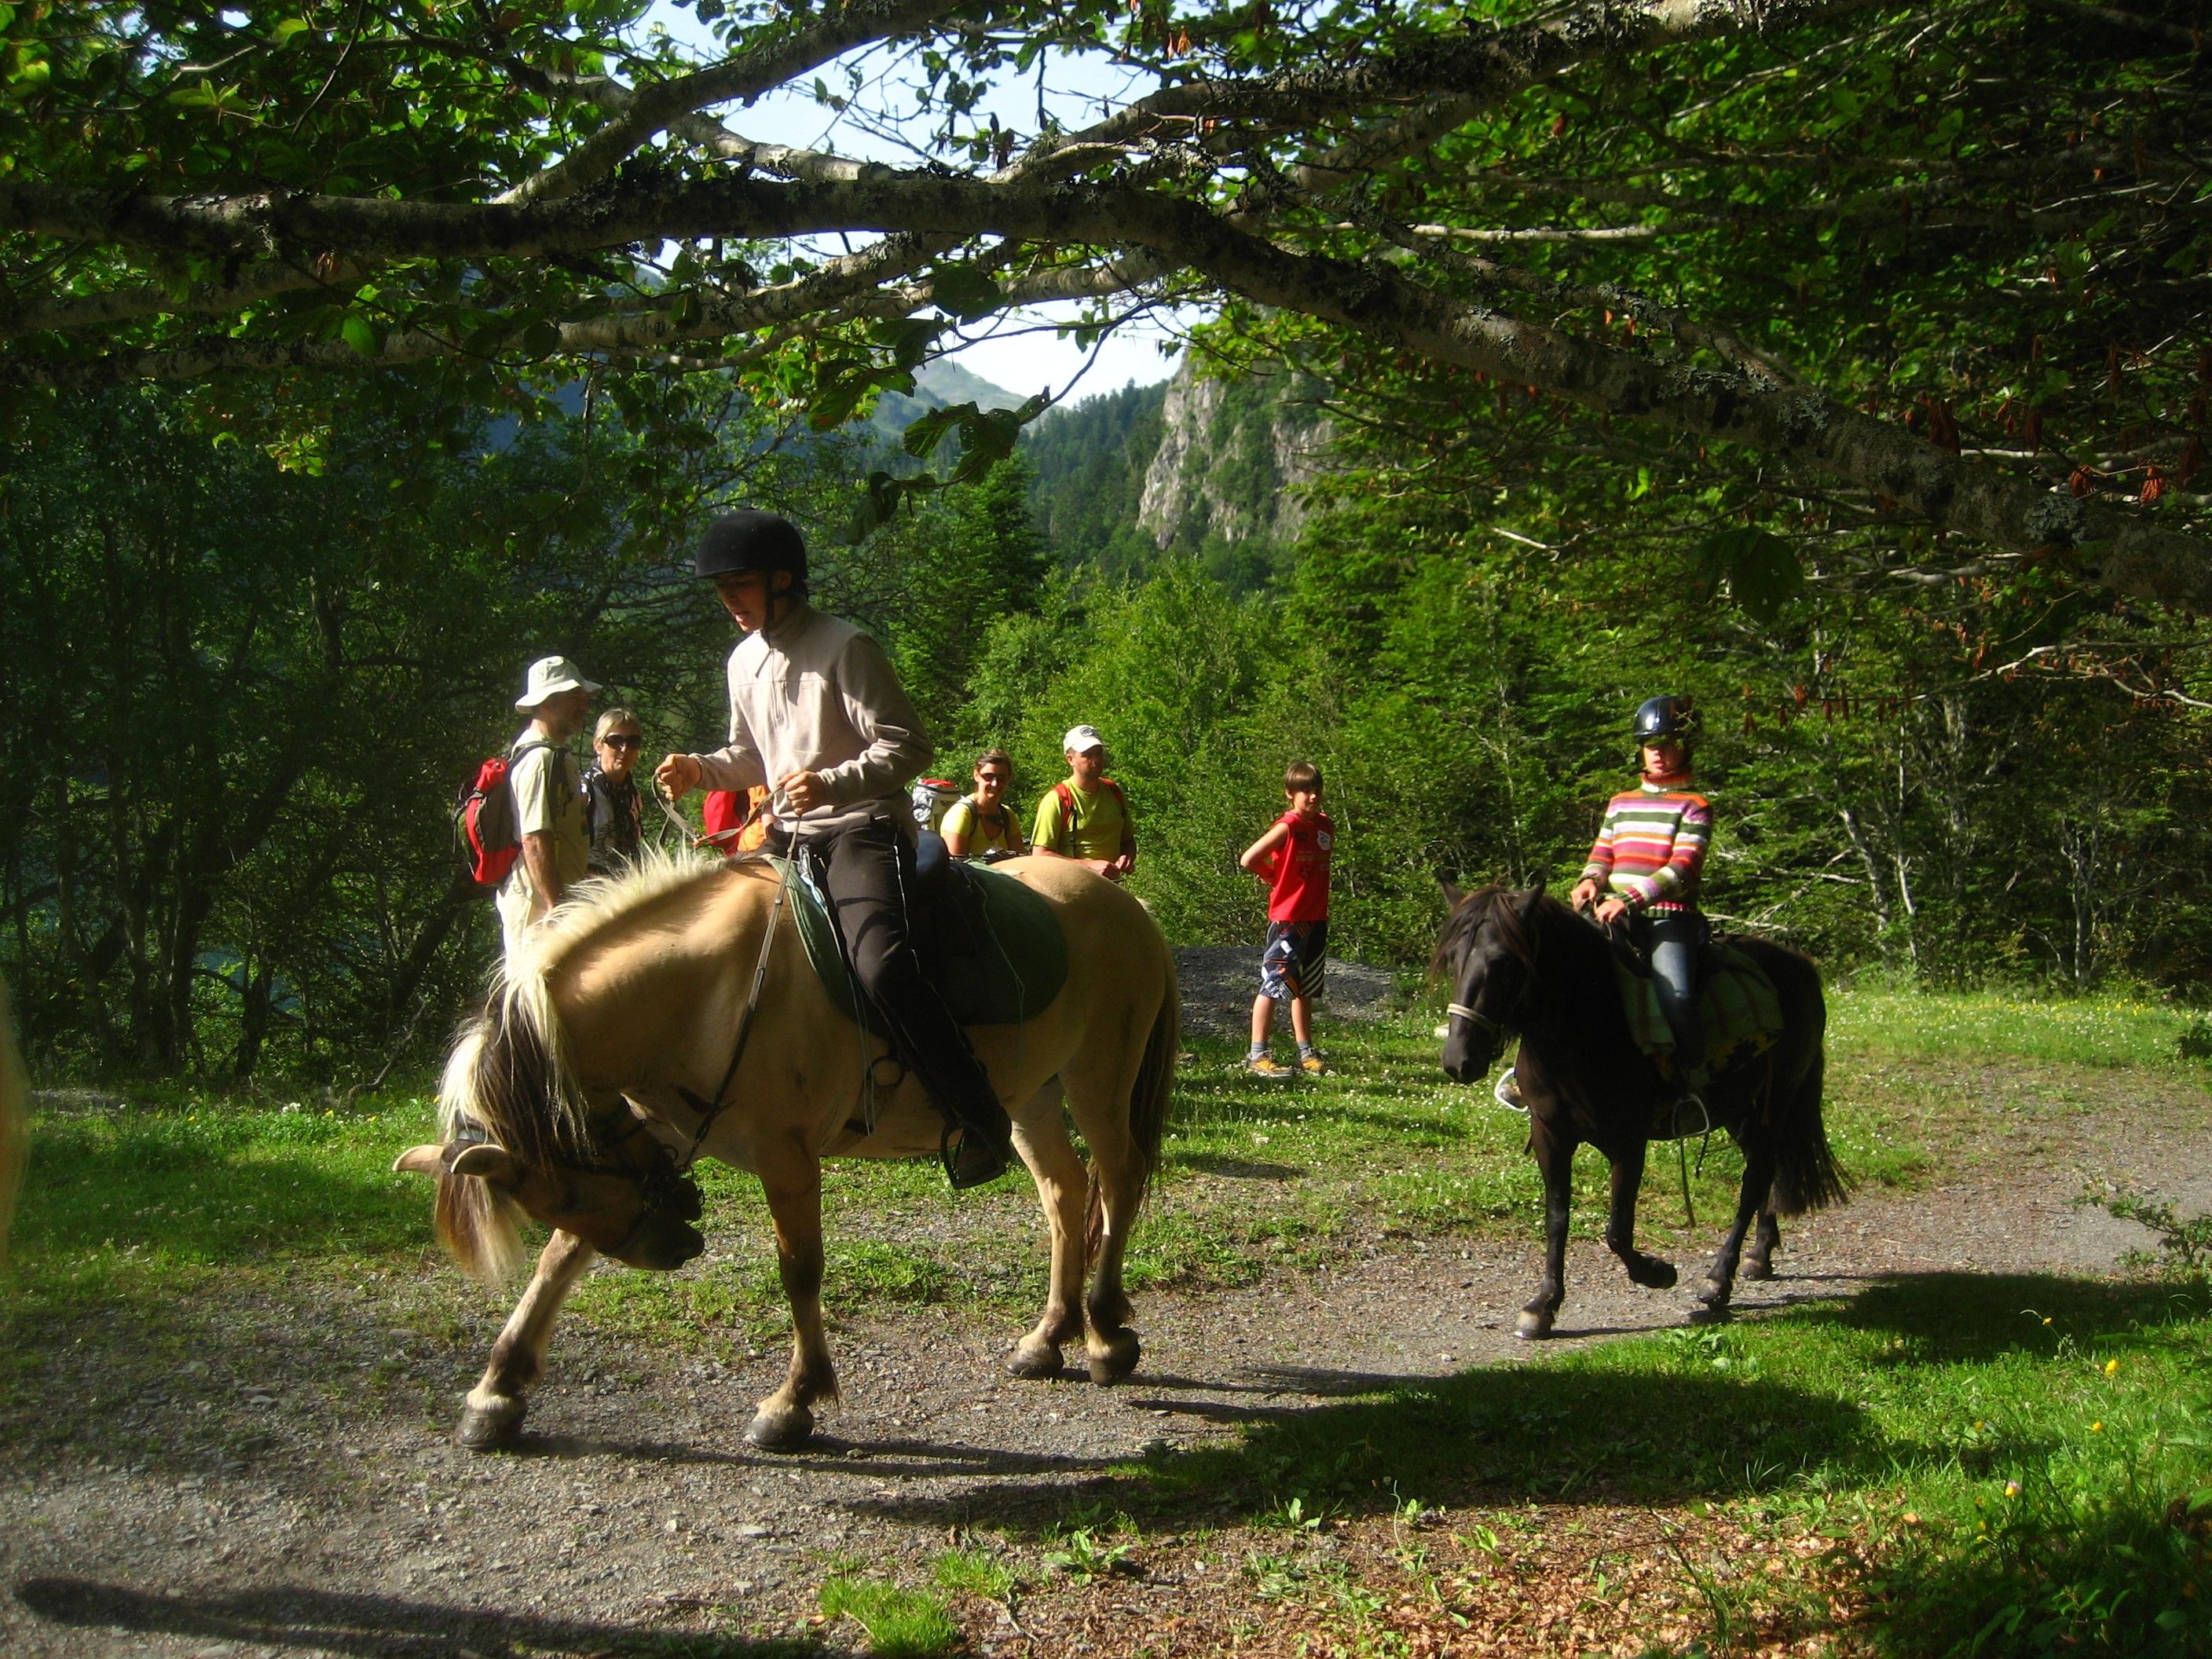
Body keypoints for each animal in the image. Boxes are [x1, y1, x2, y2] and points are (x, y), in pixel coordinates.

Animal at [405, 858, 1185, 1451]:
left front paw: (793, 1401)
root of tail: (1126, 902)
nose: (675, 1247)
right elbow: (559, 1261)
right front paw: (497, 1391)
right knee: (1066, 1193)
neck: (708, 991)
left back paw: (1106, 1334)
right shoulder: (652, 1133)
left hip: (1097, 1080)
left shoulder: (786, 1155)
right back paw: (1049, 1336)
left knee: (1117, 1182)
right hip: (1031, 1097)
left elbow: (800, 1271)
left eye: (565, 1189)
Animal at [1433, 889, 1849, 1345]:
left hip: (1778, 1101)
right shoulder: (1550, 1135)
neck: (1588, 1026)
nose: (1460, 1061)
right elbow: (1557, 1219)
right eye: (1452, 958)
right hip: (1742, 1111)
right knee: (1765, 1173)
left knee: (1754, 1180)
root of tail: (1799, 964)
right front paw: (1542, 1306)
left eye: (1506, 962)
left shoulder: (1627, 1143)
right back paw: (1759, 1255)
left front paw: (1658, 1273)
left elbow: (1617, 1230)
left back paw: (1718, 1279)